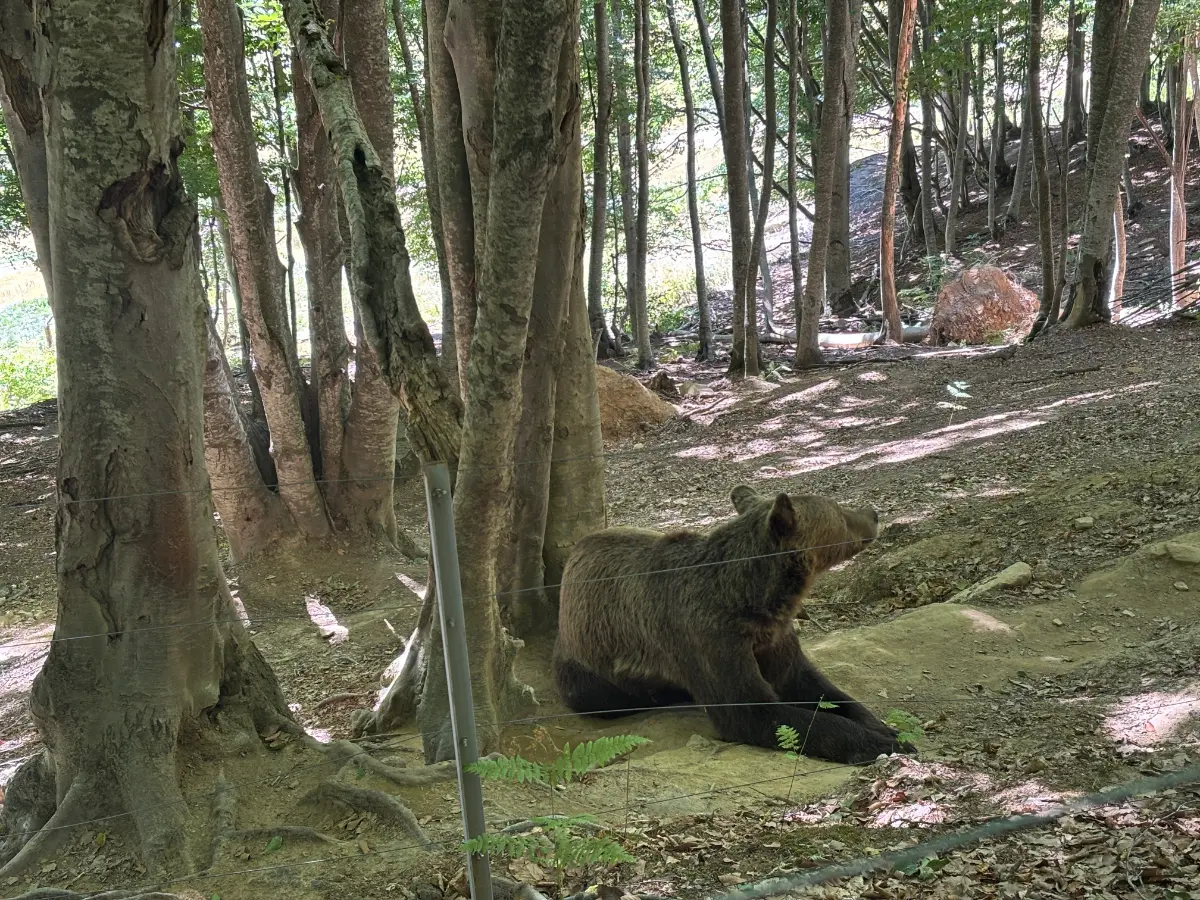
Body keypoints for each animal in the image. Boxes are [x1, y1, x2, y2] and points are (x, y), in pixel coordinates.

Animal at [552, 484, 916, 765]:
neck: (753, 600)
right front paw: (883, 744)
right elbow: (754, 710)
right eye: (839, 512)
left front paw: (887, 729)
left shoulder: (773, 636)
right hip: (589, 662)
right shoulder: (708, 636)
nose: (873, 513)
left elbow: (814, 686)